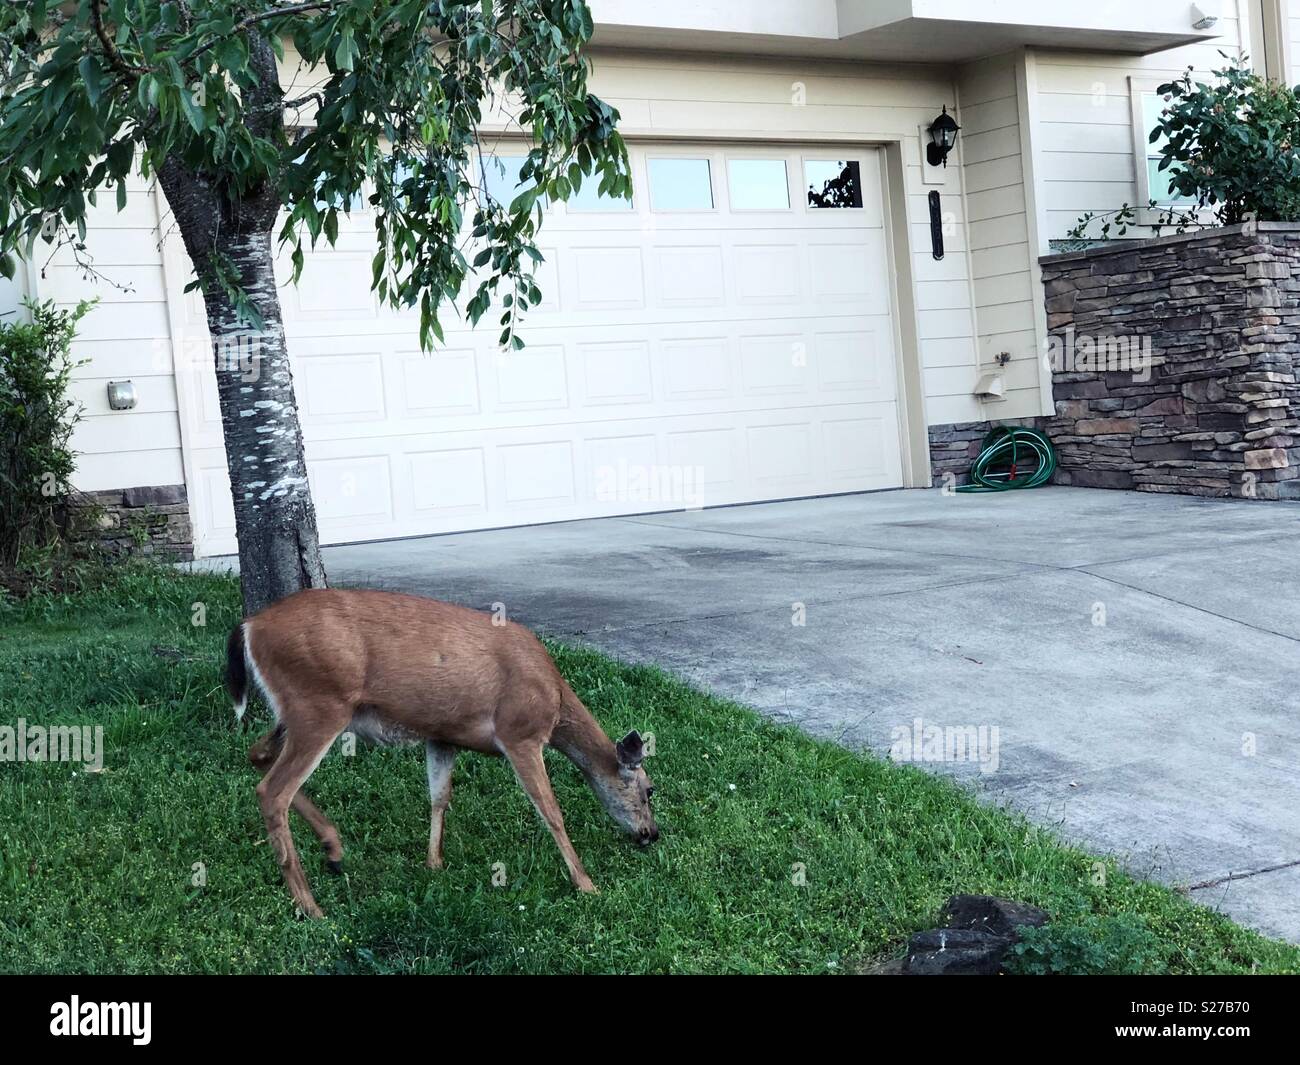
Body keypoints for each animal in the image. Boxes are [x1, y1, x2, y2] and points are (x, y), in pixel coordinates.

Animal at [224, 587, 658, 918]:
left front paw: (434, 863)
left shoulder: (442, 735)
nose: (652, 834)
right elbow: (551, 811)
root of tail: (249, 626)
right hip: (320, 704)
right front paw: (586, 884)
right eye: (649, 790)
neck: (556, 702)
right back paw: (311, 906)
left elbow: (439, 795)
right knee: (272, 791)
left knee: (256, 755)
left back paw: (334, 850)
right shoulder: (519, 733)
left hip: (296, 713)